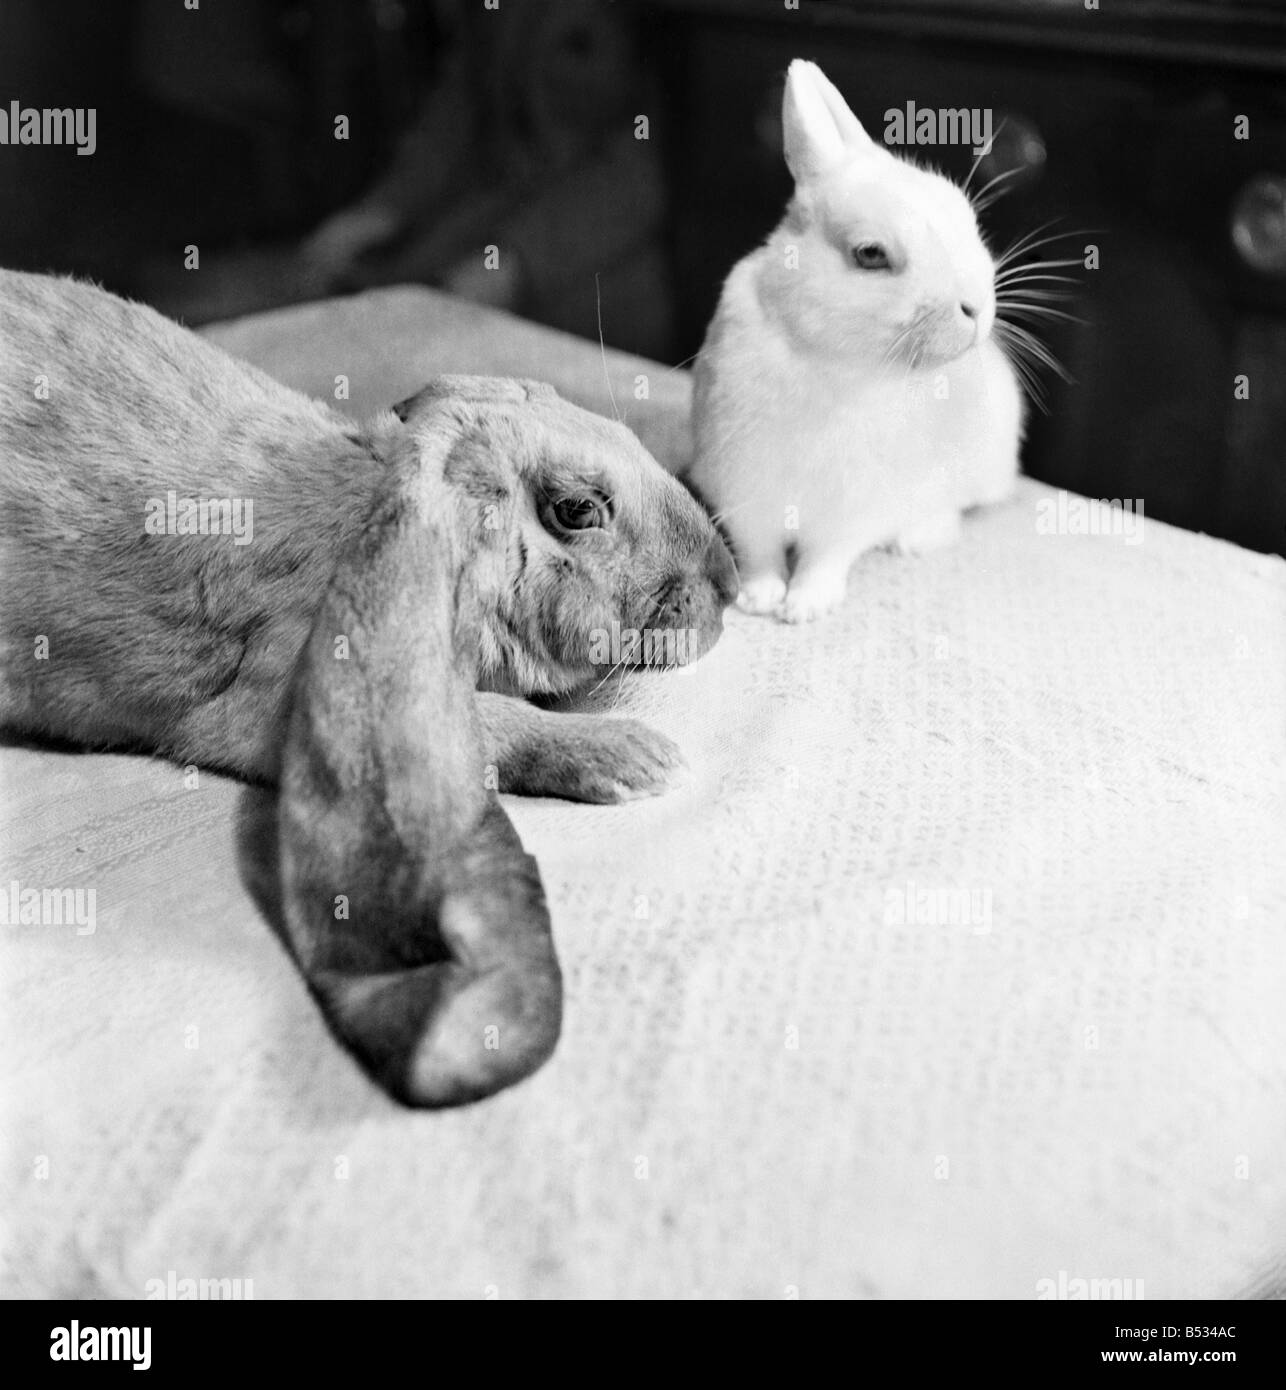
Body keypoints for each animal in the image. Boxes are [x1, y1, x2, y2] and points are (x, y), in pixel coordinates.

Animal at [686, 59, 1028, 622]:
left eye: (966, 216)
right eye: (870, 254)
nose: (976, 308)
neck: (833, 359)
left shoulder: (850, 514)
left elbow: (825, 558)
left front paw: (805, 607)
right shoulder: (744, 495)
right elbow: (759, 555)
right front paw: (759, 599)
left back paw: (913, 539)